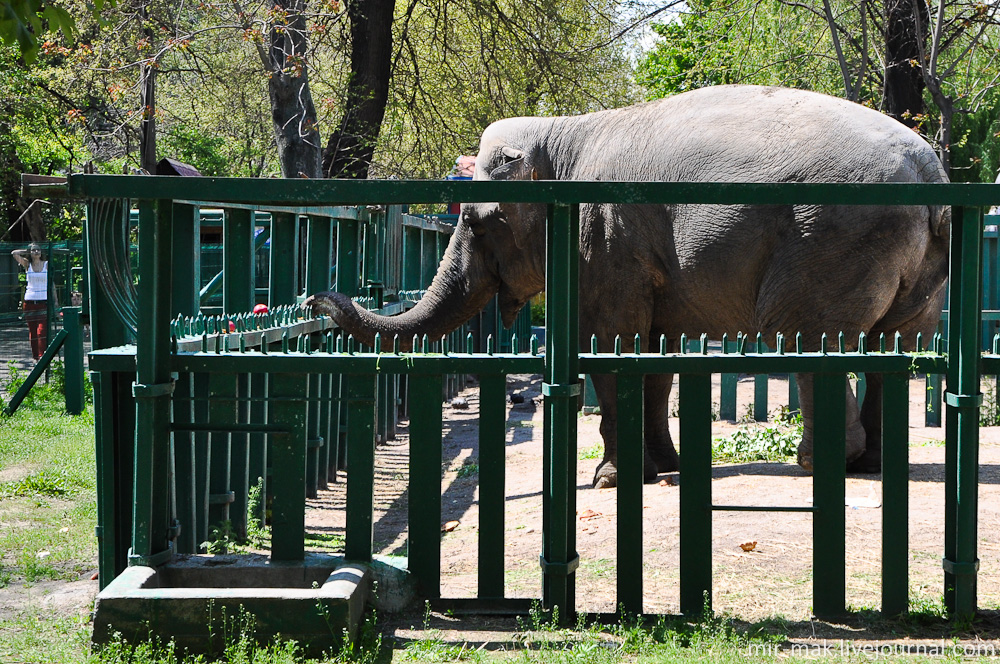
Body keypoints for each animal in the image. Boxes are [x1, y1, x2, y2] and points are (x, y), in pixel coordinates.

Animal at [308, 84, 948, 488]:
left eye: (480, 223)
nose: (321, 296)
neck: (565, 134)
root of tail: (929, 172)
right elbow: (655, 355)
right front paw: (664, 468)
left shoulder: (604, 240)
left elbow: (609, 345)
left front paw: (611, 480)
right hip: (916, 268)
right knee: (896, 346)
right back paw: (873, 463)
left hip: (831, 238)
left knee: (801, 338)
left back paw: (822, 462)